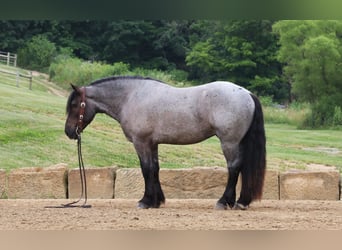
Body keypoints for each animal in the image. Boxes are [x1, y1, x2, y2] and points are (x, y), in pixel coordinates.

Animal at [65, 75, 268, 209]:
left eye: (74, 105)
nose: (69, 132)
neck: (131, 97)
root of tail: (247, 93)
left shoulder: (141, 143)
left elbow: (146, 170)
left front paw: (145, 201)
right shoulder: (152, 144)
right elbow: (155, 169)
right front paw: (157, 201)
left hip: (229, 142)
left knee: (234, 168)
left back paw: (224, 202)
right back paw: (241, 202)